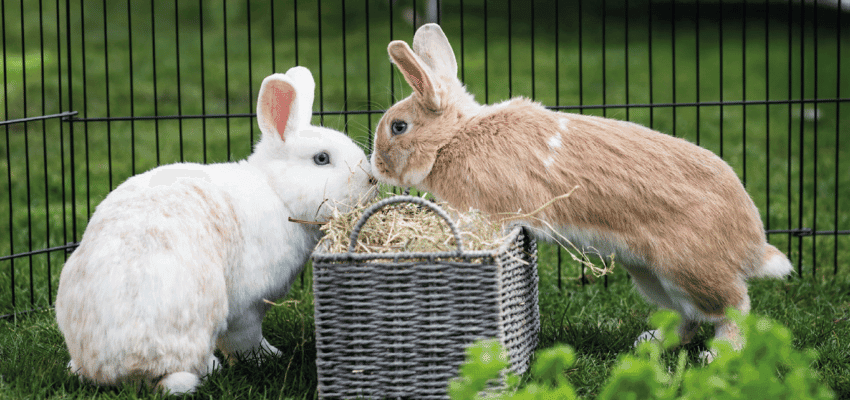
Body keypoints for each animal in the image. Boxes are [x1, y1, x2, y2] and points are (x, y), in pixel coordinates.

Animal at [55, 66, 377, 395]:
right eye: (321, 158)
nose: (372, 180)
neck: (276, 192)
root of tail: (111, 368)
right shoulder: (248, 308)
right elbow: (245, 340)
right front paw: (269, 357)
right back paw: (210, 369)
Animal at [370, 23, 793, 353]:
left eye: (398, 127)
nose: (375, 168)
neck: (455, 137)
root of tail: (753, 245)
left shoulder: (482, 211)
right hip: (649, 275)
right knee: (689, 318)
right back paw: (651, 342)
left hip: (689, 269)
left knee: (736, 308)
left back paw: (718, 354)